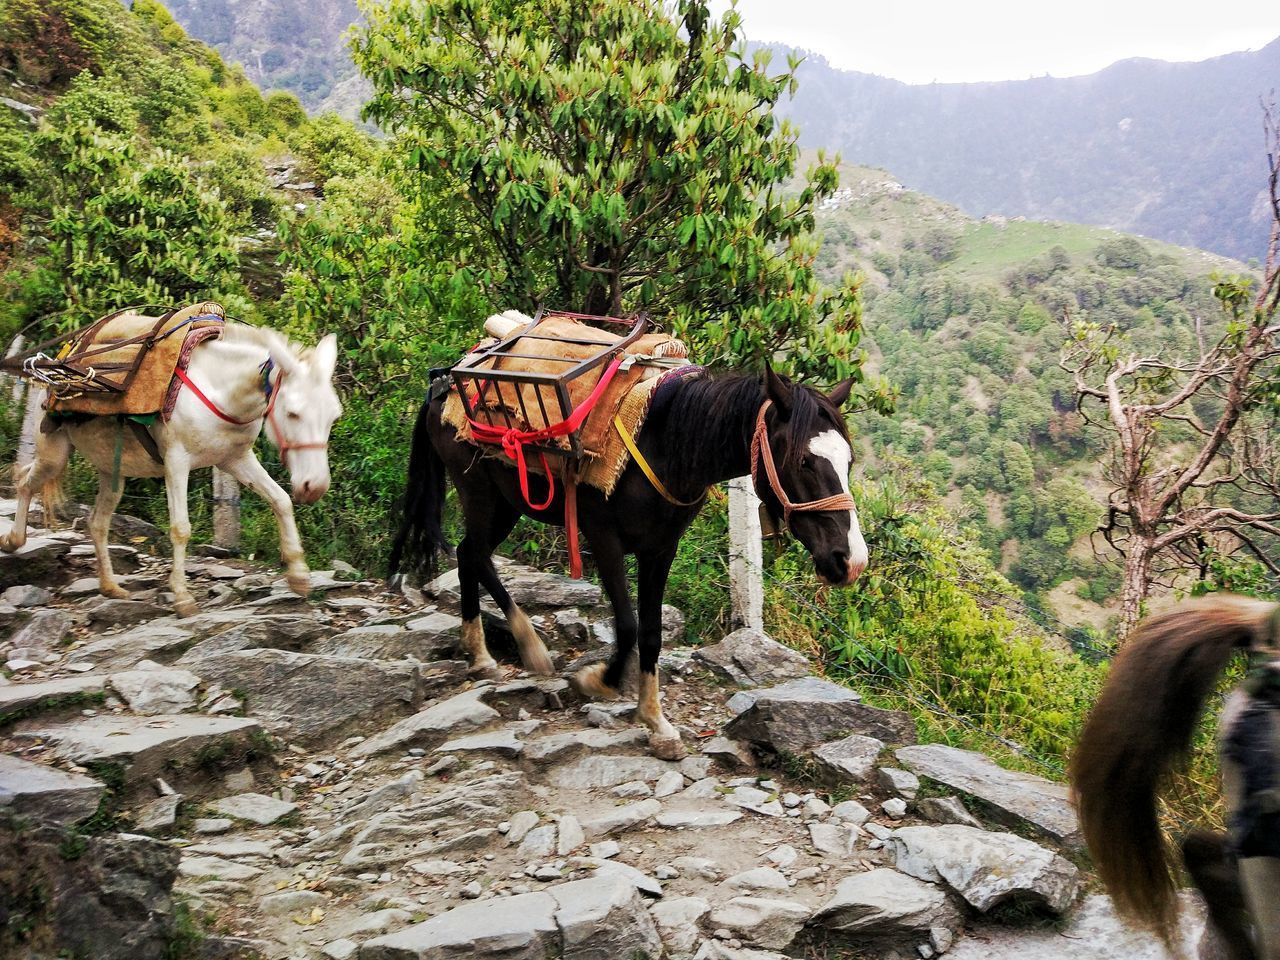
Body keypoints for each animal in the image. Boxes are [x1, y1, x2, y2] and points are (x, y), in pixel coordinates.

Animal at [0, 323, 340, 616]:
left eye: (334, 416)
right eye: (293, 413)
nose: (315, 487)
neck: (218, 389)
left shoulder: (236, 459)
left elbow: (280, 501)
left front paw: (299, 576)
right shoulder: (177, 461)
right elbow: (180, 528)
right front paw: (182, 596)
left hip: (112, 470)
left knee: (97, 522)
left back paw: (110, 587)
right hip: (53, 455)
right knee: (26, 482)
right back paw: (13, 541)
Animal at [389, 363, 870, 762]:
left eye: (848, 460)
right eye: (804, 460)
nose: (851, 561)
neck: (666, 443)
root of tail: (441, 385)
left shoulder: (661, 548)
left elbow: (652, 633)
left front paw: (656, 721)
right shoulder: (603, 538)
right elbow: (627, 624)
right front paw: (600, 680)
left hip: (507, 501)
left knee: (472, 556)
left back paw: (499, 650)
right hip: (479, 492)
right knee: (472, 554)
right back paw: (505, 650)